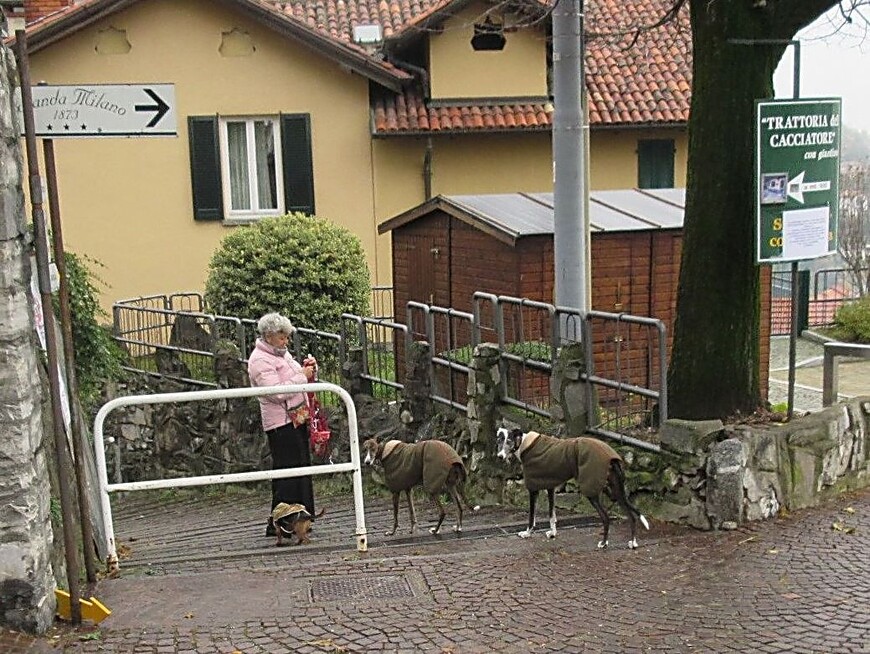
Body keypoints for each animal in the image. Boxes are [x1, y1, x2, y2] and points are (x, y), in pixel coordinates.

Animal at [498, 428, 648, 552]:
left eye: (509, 441)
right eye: (499, 441)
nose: (500, 456)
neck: (524, 444)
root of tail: (611, 457)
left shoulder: (533, 489)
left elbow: (531, 517)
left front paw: (527, 533)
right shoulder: (550, 487)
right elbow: (552, 515)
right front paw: (552, 533)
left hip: (592, 490)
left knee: (606, 517)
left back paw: (604, 543)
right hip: (617, 491)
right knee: (631, 516)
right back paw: (633, 542)